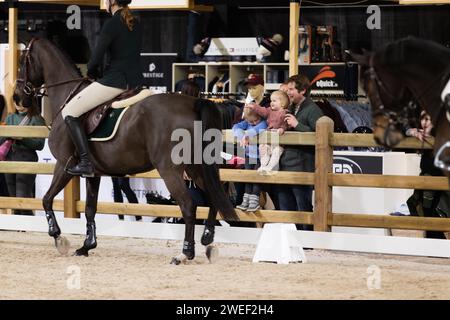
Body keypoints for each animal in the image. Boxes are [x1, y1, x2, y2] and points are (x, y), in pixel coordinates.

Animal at [13, 38, 239, 264]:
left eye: (23, 60)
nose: (17, 97)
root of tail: (192, 103)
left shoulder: (63, 165)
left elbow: (46, 199)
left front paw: (59, 238)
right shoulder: (93, 174)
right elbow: (89, 209)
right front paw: (87, 246)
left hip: (169, 169)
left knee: (188, 205)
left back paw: (184, 253)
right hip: (195, 167)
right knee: (214, 196)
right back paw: (208, 239)